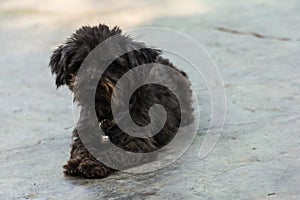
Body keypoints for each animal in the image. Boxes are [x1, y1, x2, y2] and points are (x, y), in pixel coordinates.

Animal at [48, 23, 195, 178]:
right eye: (80, 63)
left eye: (110, 63)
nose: (90, 82)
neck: (107, 116)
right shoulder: (84, 135)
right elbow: (81, 148)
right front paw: (78, 162)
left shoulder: (136, 142)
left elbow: (112, 152)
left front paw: (92, 164)